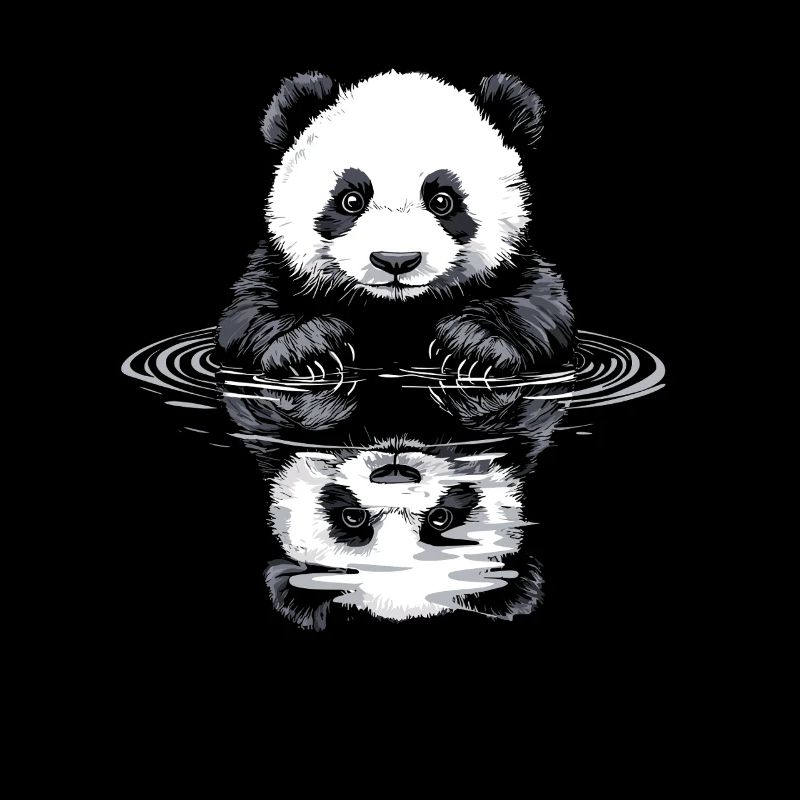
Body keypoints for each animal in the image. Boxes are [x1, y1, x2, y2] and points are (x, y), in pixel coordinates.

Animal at [217, 71, 574, 377]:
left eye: (442, 200)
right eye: (351, 200)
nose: (395, 261)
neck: (394, 311)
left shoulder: (518, 265)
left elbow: (541, 307)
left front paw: (476, 347)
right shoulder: (278, 265)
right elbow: (247, 312)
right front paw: (308, 349)